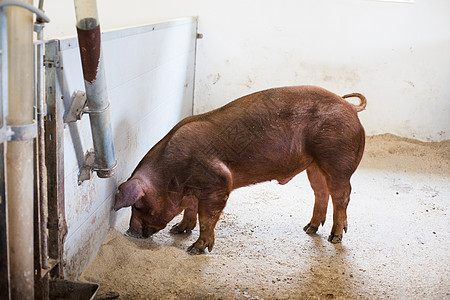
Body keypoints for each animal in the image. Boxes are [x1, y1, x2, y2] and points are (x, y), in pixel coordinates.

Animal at [112, 85, 366, 254]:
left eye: (137, 204)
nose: (130, 232)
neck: (172, 176)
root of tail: (350, 107)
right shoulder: (194, 190)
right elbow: (190, 210)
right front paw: (178, 230)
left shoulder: (218, 183)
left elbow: (206, 218)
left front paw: (195, 250)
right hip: (314, 165)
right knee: (321, 192)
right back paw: (309, 229)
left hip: (337, 159)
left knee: (342, 196)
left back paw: (335, 237)